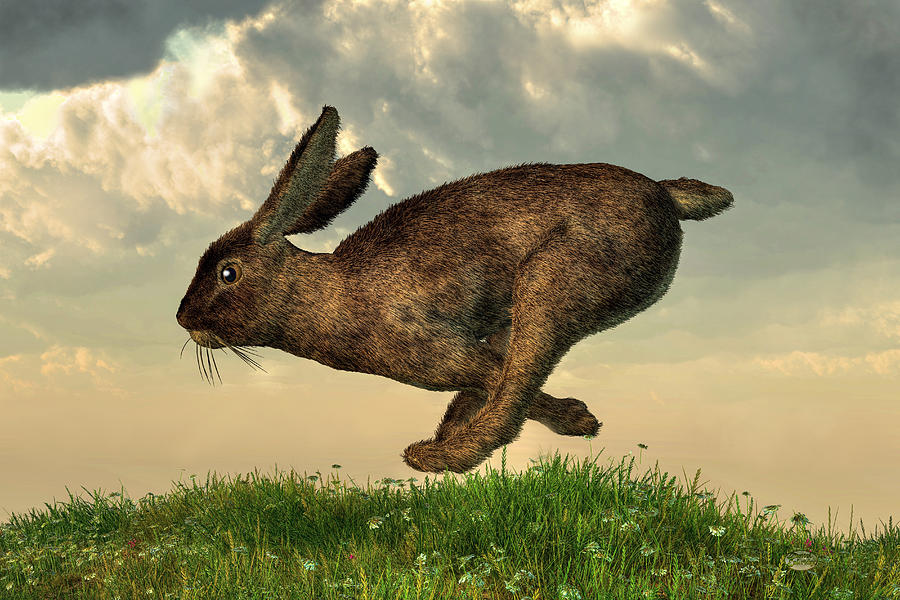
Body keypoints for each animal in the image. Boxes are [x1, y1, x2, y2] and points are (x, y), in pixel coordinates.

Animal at [176, 105, 734, 474]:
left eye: (227, 273)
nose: (182, 319)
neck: (328, 291)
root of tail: (665, 196)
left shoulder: (434, 346)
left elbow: (495, 380)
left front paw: (576, 418)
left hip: (553, 281)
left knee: (511, 391)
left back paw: (438, 456)